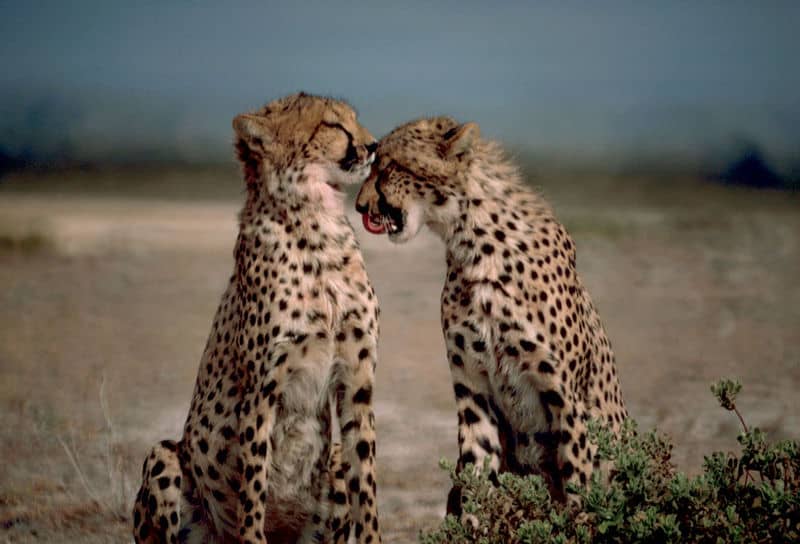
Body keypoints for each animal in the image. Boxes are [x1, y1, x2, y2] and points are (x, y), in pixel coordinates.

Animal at [135, 93, 384, 544]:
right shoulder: (260, 390)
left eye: (353, 119)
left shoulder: (357, 381)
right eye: (332, 125)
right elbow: (253, 487)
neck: (316, 225)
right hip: (164, 457)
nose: (373, 146)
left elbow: (367, 483)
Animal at [354, 117, 624, 508]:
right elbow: (475, 478)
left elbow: (579, 488)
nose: (359, 207)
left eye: (390, 166)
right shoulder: (474, 391)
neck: (473, 245)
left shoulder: (567, 401)